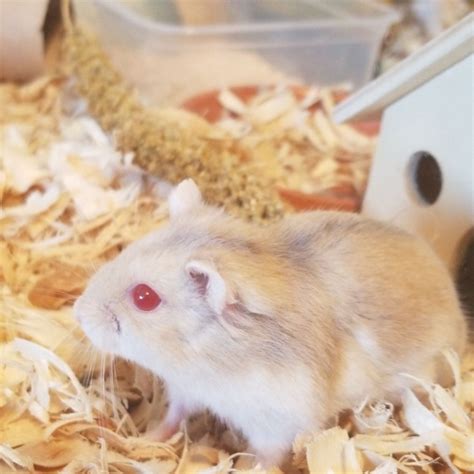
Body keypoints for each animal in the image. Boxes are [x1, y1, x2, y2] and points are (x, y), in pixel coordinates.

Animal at [74, 178, 466, 466]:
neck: (202, 362)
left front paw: (247, 466)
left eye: (145, 298)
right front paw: (140, 439)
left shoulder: (277, 424)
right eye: (128, 249)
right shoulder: (186, 389)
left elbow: (268, 456)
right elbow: (173, 417)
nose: (77, 312)